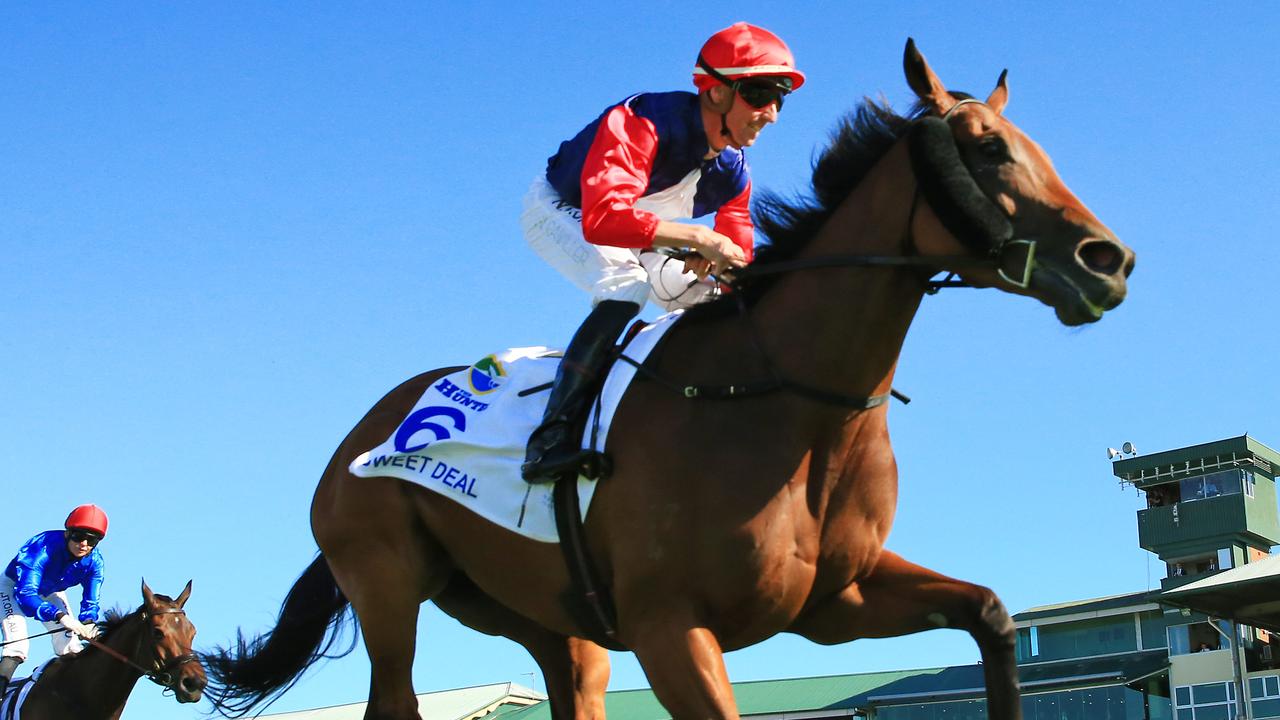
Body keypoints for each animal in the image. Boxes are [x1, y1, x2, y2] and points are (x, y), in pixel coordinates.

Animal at [204, 40, 1136, 717]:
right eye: (988, 149)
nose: (1110, 261)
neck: (793, 402)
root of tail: (362, 433)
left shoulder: (836, 601)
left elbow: (989, 614)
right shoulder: (670, 626)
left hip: (550, 623)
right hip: (387, 582)